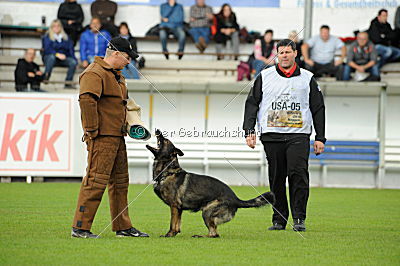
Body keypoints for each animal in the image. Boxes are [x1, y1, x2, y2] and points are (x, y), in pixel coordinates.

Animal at [146, 130, 276, 238]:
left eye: (165, 140)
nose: (157, 130)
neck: (168, 172)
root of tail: (235, 199)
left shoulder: (174, 206)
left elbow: (172, 223)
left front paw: (168, 235)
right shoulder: (179, 208)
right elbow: (177, 225)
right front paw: (174, 234)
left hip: (207, 212)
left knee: (214, 234)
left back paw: (199, 236)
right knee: (214, 233)